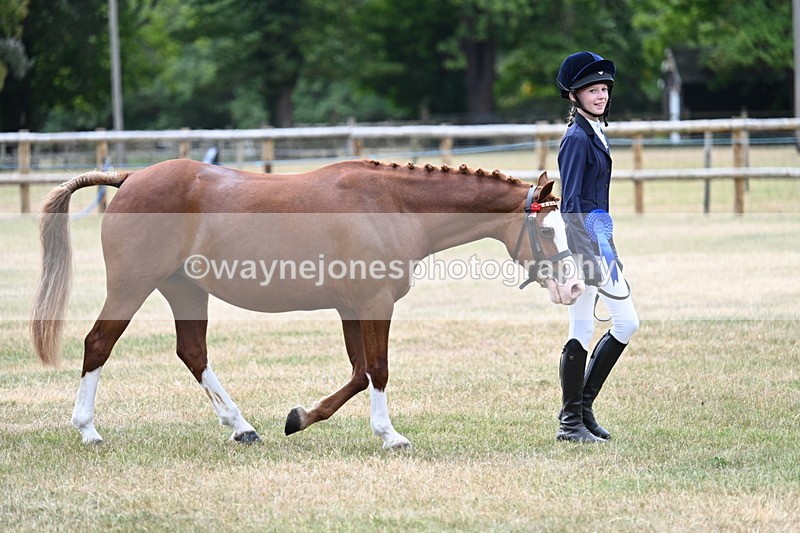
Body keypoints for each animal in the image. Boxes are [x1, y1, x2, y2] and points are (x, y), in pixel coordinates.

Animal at [30, 158, 584, 449]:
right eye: (548, 231)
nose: (576, 288)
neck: (389, 206)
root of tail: (130, 177)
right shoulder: (374, 304)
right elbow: (378, 370)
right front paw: (389, 434)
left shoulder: (351, 309)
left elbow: (359, 373)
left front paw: (299, 417)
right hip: (132, 287)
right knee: (98, 344)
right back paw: (87, 430)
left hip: (186, 290)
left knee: (193, 353)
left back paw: (242, 427)